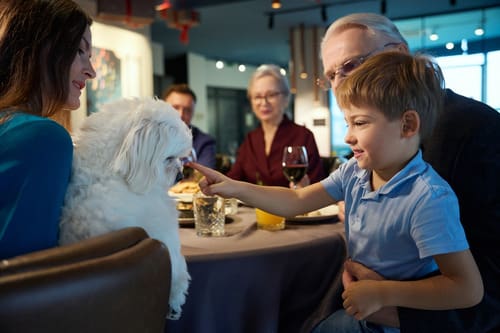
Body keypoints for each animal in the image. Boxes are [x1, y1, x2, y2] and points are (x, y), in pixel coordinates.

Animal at [58, 96, 191, 320]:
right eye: (169, 158)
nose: (180, 176)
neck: (105, 173)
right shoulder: (165, 233)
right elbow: (178, 267)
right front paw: (176, 298)